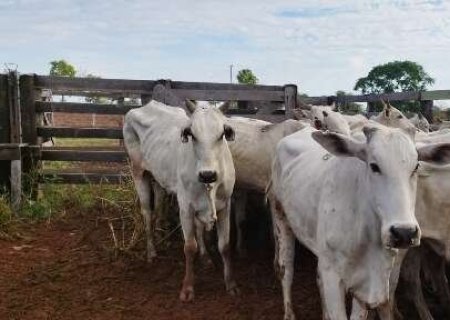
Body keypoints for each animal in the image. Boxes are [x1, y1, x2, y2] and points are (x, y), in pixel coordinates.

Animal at [121, 99, 237, 300]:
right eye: (192, 134)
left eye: (221, 133)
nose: (207, 175)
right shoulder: (185, 207)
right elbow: (189, 247)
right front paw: (188, 288)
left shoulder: (224, 206)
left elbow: (224, 245)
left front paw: (230, 284)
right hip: (139, 172)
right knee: (147, 212)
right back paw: (151, 252)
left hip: (159, 177)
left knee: (160, 205)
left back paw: (166, 240)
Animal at [268, 124, 450, 318]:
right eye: (374, 166)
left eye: (416, 167)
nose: (404, 233)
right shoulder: (333, 275)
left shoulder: (365, 283)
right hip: (280, 217)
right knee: (285, 269)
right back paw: (289, 313)